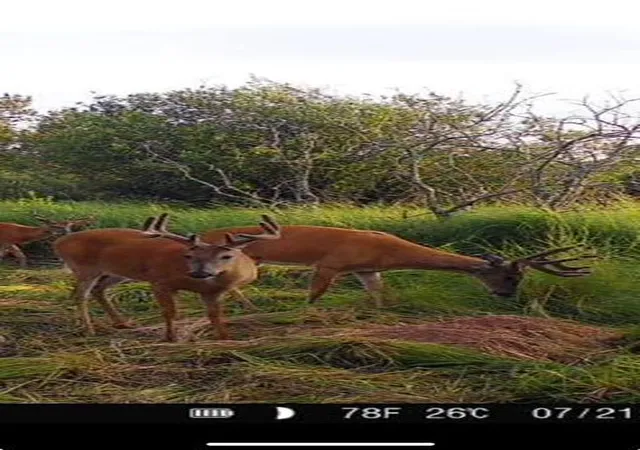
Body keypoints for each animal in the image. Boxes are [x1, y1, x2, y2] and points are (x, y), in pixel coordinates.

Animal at [53, 214, 281, 342]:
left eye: (226, 256)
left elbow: (215, 316)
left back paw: (122, 323)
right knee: (80, 295)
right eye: (189, 256)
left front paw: (225, 339)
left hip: (116, 272)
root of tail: (59, 242)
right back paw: (89, 330)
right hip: (85, 268)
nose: (199, 272)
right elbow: (170, 312)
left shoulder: (212, 293)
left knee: (98, 289)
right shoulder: (160, 281)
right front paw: (170, 338)